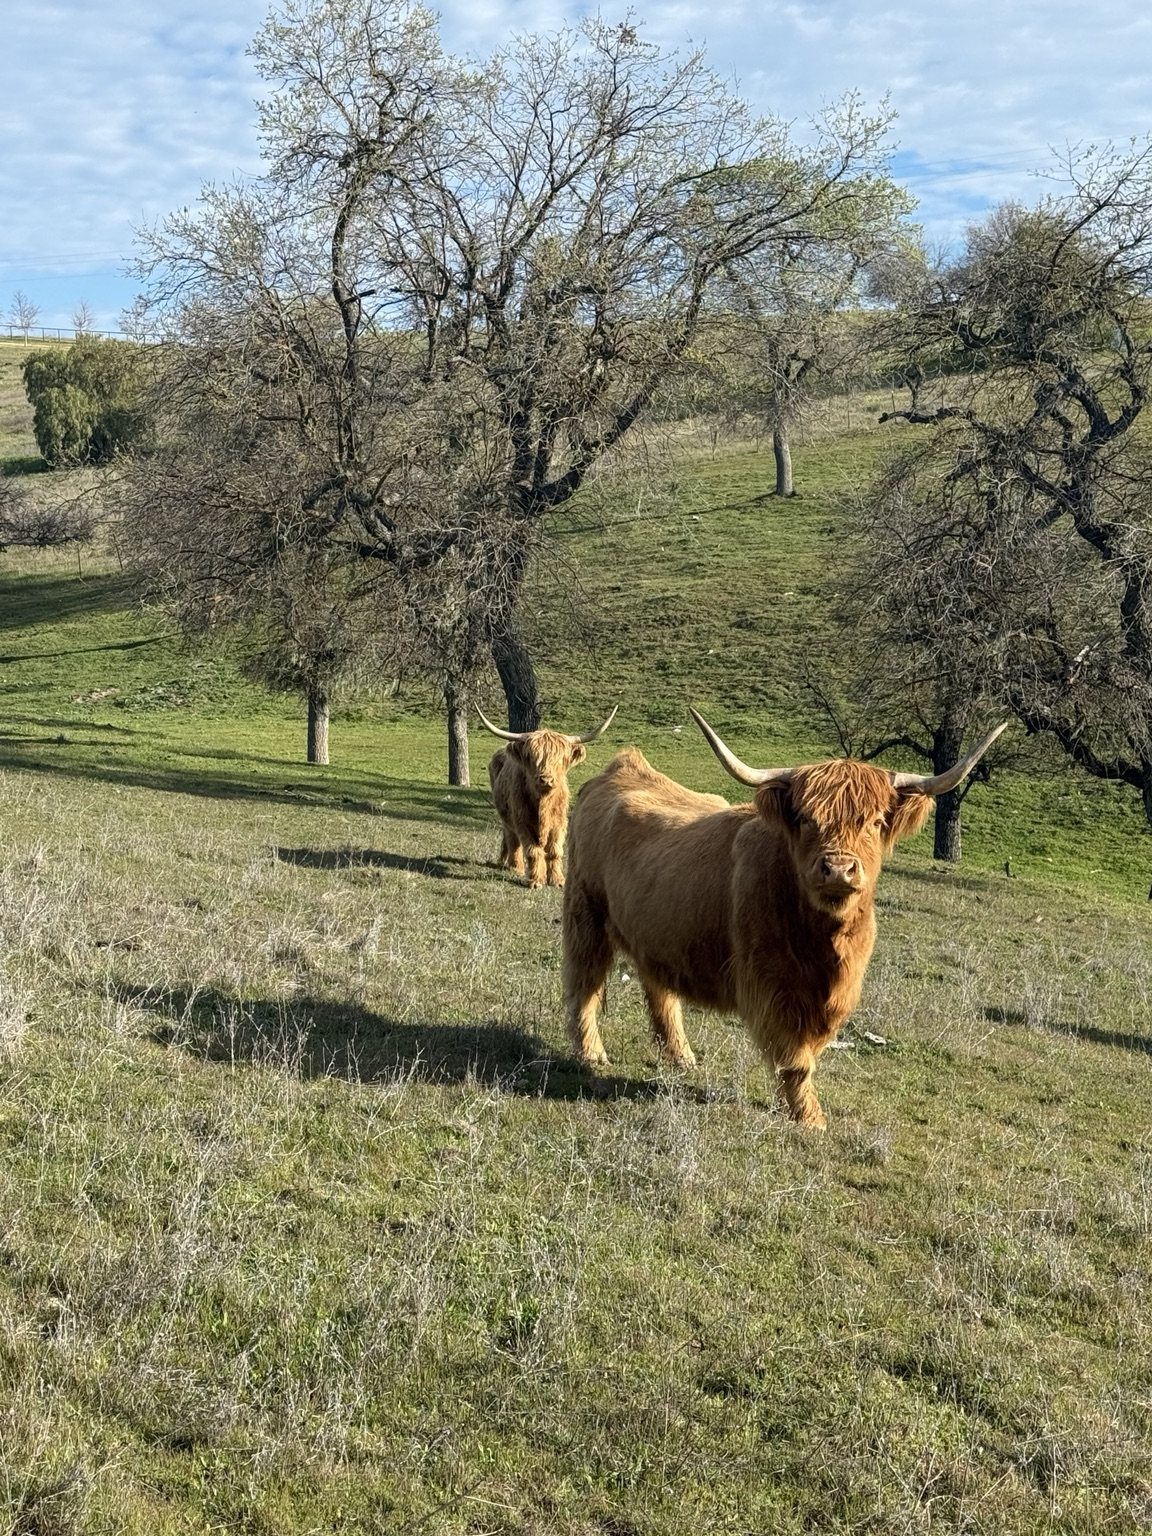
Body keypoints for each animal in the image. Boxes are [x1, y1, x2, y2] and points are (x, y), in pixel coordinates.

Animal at [477, 706, 618, 888]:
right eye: (532, 757)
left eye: (560, 759)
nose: (546, 780)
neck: (543, 803)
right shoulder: (523, 821)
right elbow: (533, 850)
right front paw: (536, 880)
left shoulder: (559, 821)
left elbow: (554, 850)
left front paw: (557, 880)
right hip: (508, 816)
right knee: (511, 837)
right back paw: (514, 866)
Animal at [562, 709, 1007, 1127]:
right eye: (807, 819)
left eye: (876, 821)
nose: (839, 869)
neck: (824, 942)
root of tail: (621, 768)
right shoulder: (772, 983)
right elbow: (795, 1055)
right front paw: (809, 1117)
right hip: (585, 915)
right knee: (584, 984)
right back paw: (592, 1054)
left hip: (657, 932)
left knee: (658, 987)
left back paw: (681, 1055)